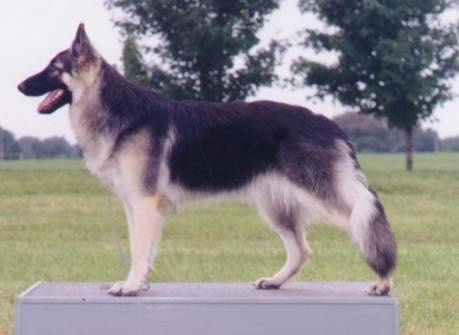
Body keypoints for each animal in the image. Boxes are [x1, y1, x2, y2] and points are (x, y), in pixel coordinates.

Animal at [18, 23, 398, 296]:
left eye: (53, 67)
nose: (20, 86)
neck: (119, 112)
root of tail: (328, 123)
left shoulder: (143, 203)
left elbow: (139, 250)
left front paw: (131, 286)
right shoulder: (135, 206)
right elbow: (144, 250)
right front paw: (138, 283)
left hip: (321, 198)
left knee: (363, 219)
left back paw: (384, 281)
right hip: (276, 207)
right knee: (301, 250)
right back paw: (275, 282)